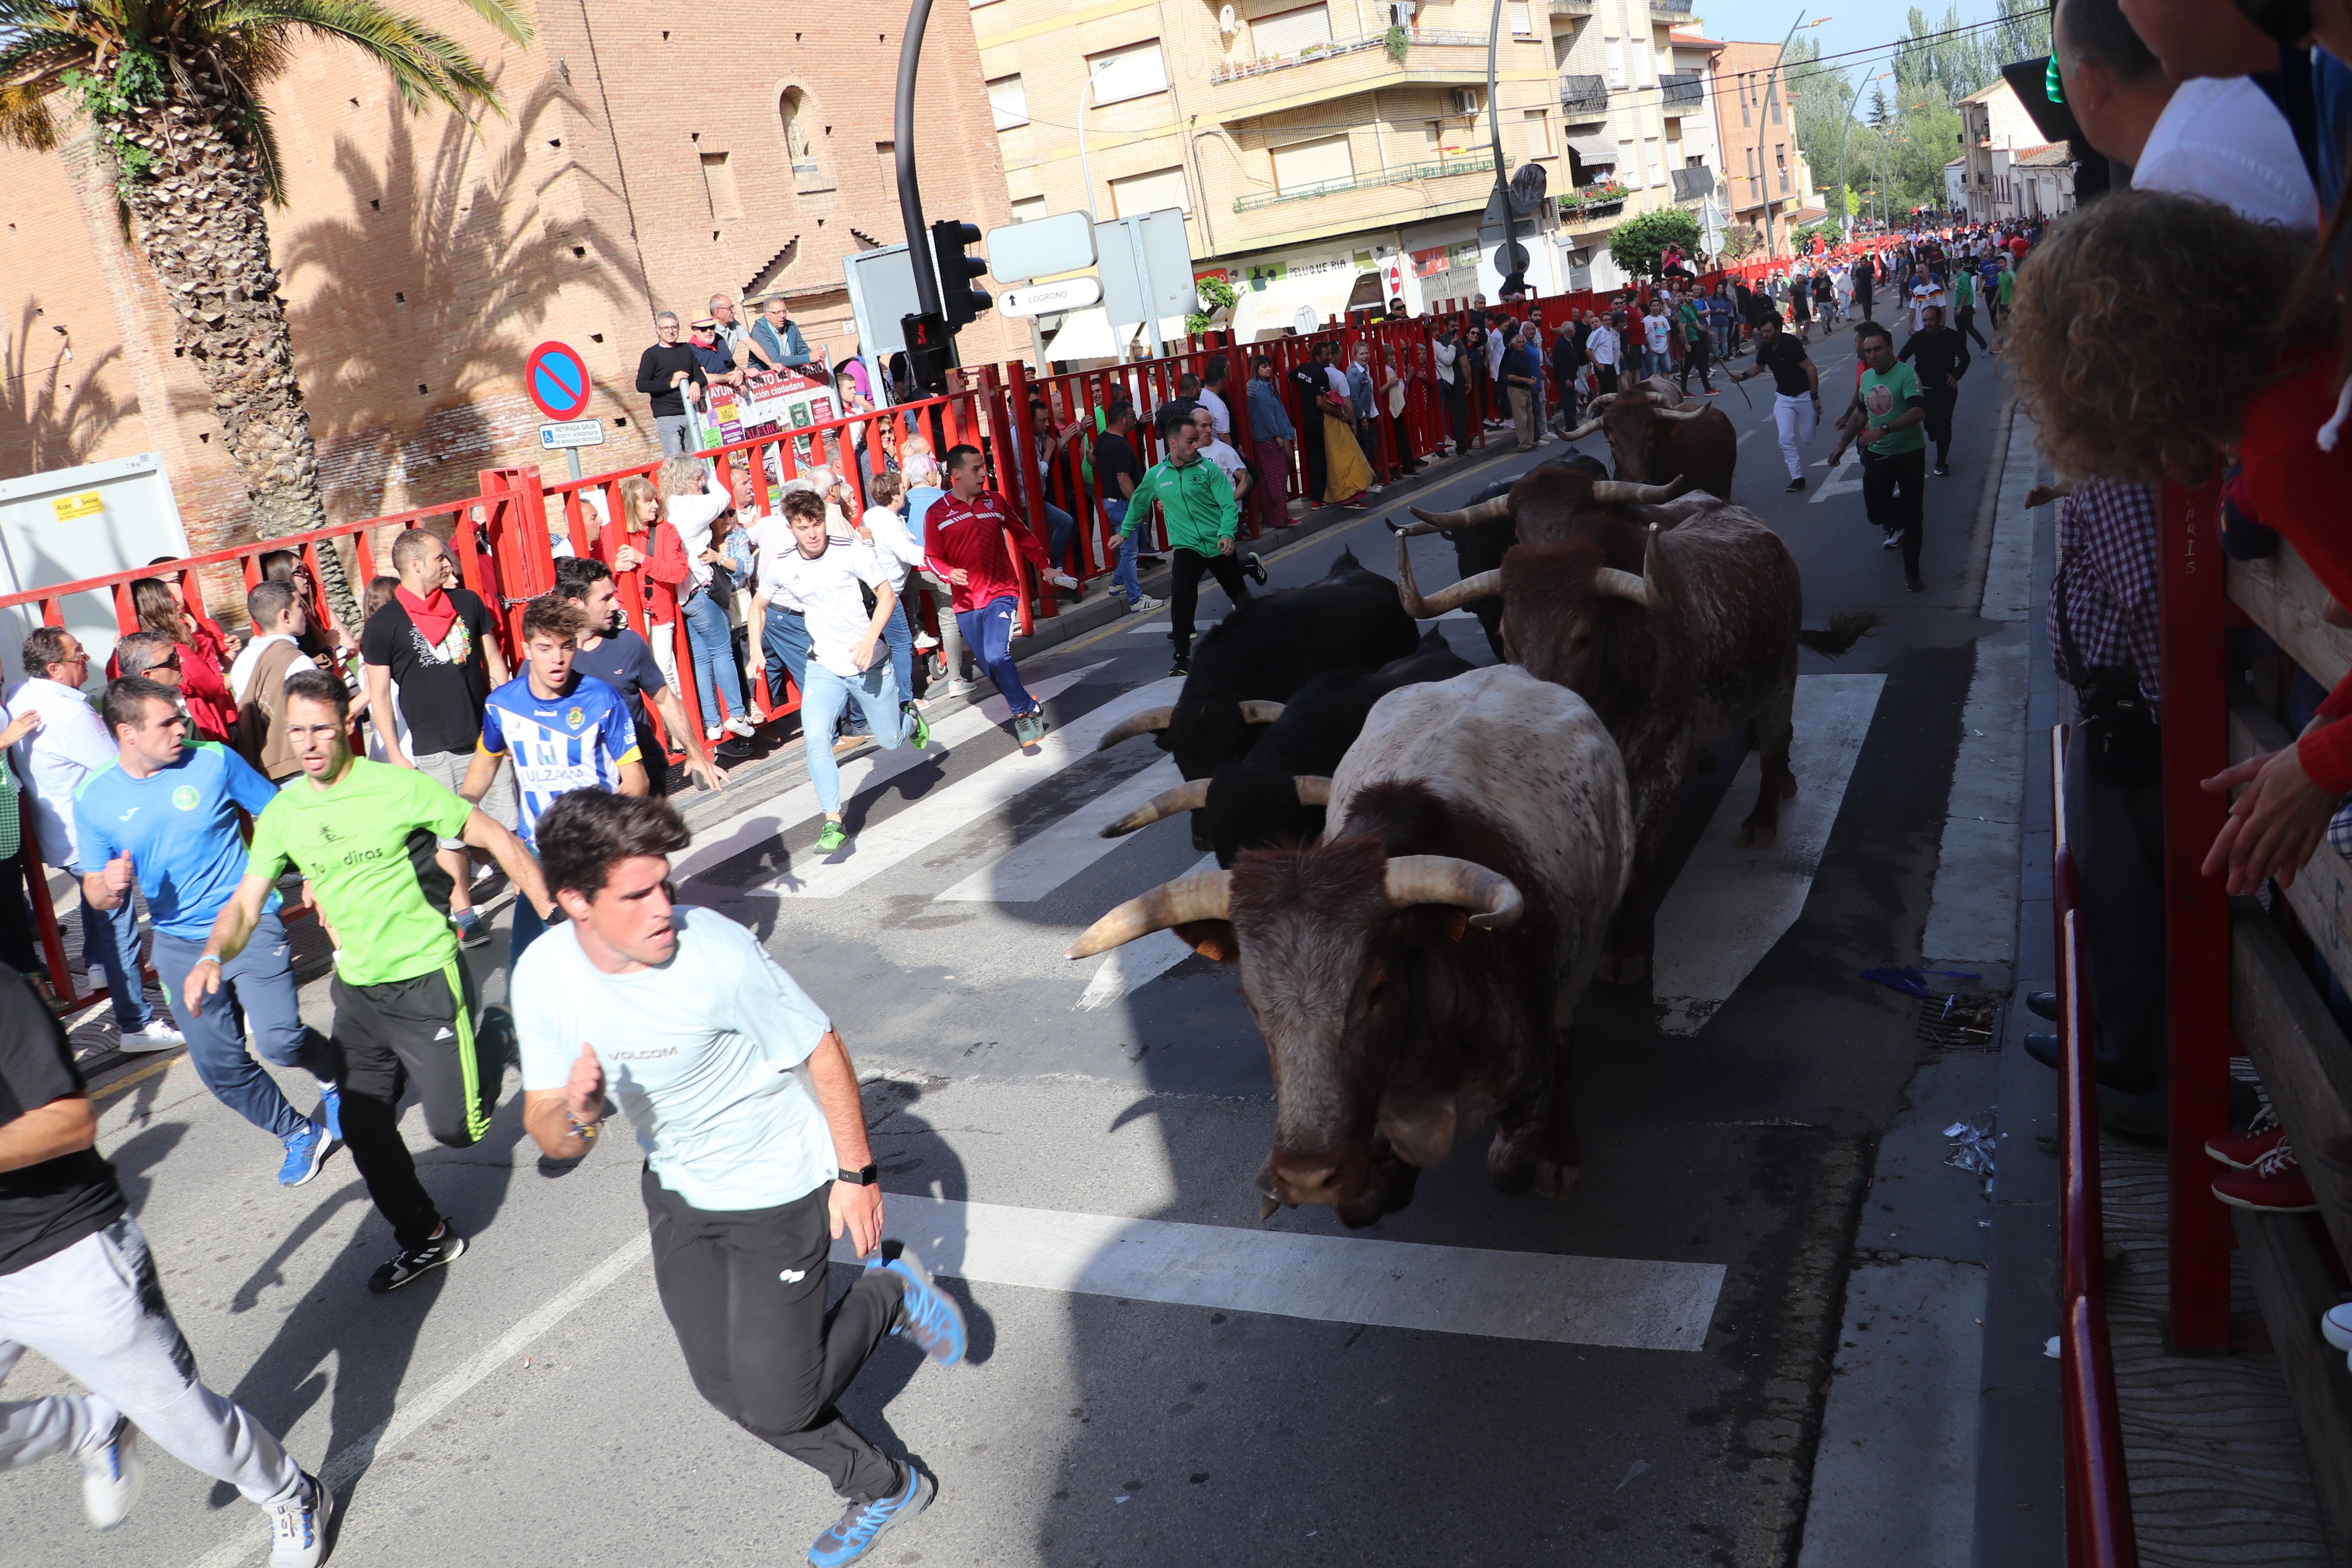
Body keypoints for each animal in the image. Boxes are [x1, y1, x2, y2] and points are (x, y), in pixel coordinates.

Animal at [1392, 482, 1872, 992]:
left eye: (1583, 636)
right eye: (1505, 634)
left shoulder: (1665, 759)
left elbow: (1640, 859)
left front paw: (1624, 949)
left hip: (1780, 676)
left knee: (1775, 739)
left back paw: (1765, 812)